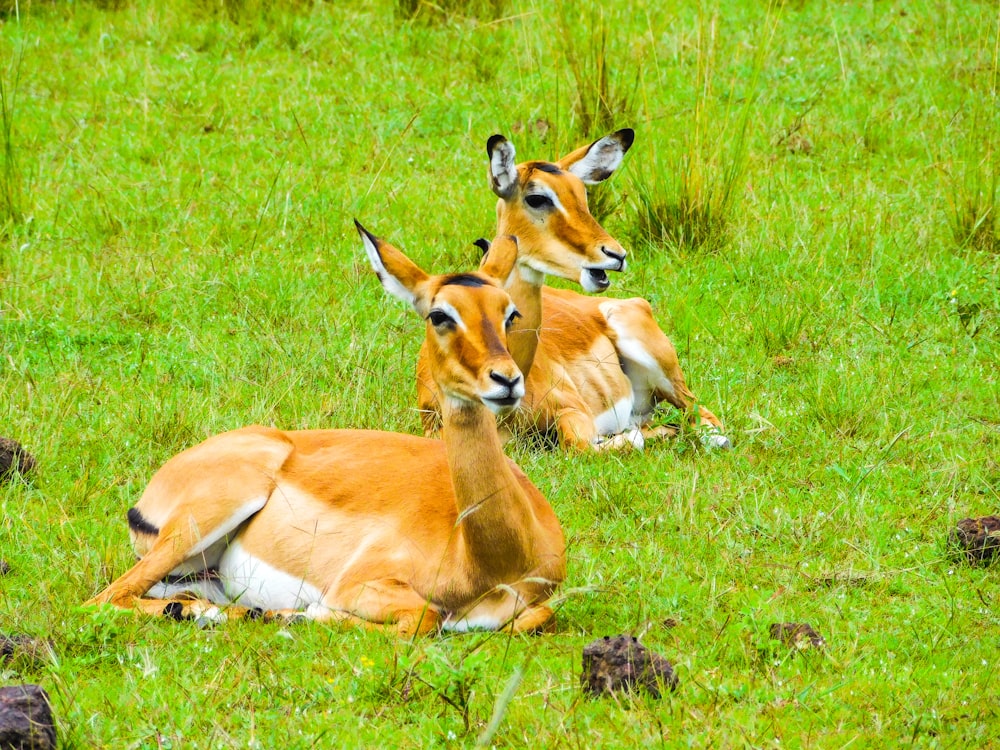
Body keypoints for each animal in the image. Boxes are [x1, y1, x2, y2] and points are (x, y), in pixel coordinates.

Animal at [86, 225, 568, 640]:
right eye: (439, 314)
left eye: (509, 313)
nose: (506, 380)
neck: (491, 562)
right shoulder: (357, 584)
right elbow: (422, 617)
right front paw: (301, 615)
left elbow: (533, 616)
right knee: (104, 598)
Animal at [414, 131, 728, 452]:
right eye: (537, 197)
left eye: (581, 195)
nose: (615, 254)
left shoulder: (573, 409)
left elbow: (583, 444)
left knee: (705, 419)